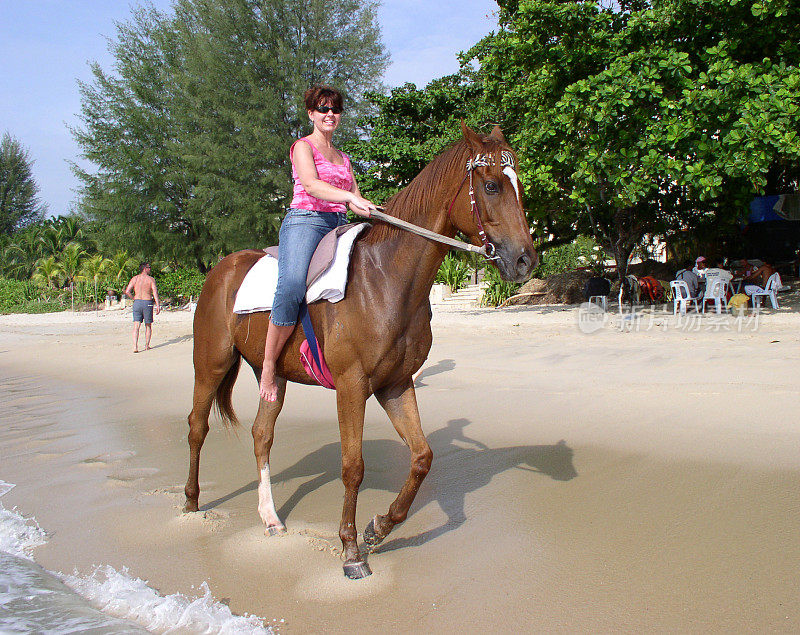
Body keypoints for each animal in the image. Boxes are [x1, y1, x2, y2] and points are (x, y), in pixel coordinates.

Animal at [185, 121, 536, 580]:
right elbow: (353, 467)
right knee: (197, 427)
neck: (384, 278)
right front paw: (351, 550)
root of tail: (219, 271)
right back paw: (191, 502)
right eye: (492, 185)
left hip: (271, 375)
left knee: (262, 435)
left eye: (519, 184)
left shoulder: (396, 384)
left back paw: (271, 519)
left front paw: (378, 528)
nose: (526, 261)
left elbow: (422, 457)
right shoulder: (352, 386)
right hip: (210, 365)